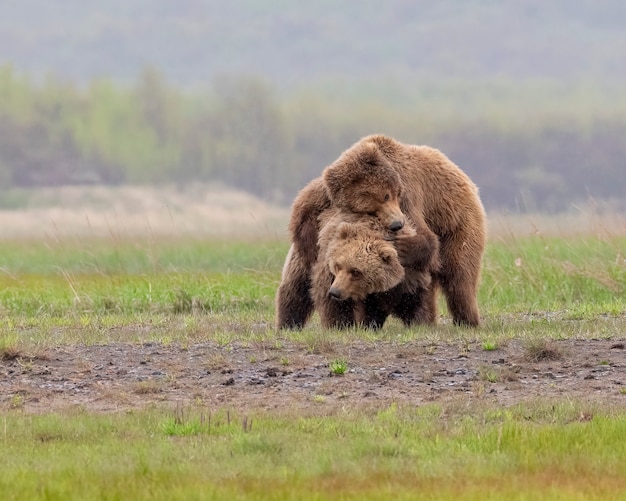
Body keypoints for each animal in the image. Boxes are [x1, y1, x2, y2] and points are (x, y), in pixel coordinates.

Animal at [308, 207, 436, 328]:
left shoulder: (410, 278)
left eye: (356, 271)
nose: (335, 292)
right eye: (338, 265)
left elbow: (416, 304)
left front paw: (419, 322)